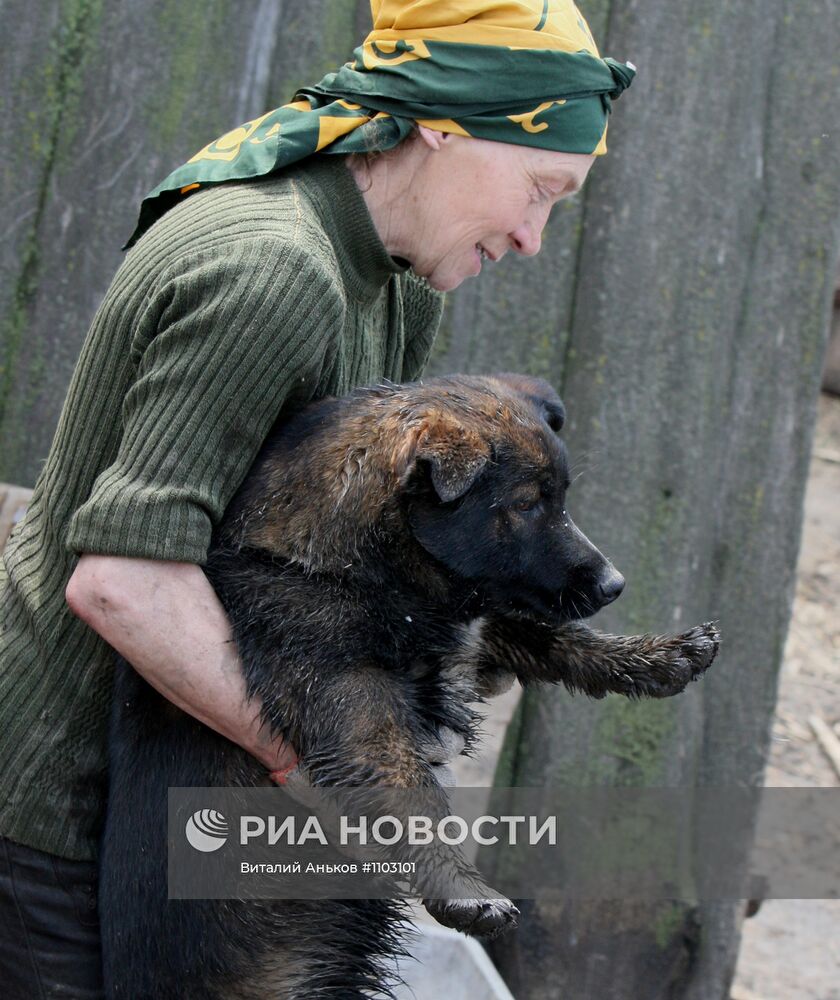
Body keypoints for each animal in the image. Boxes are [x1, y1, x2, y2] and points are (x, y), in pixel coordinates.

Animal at [101, 376, 720, 1000]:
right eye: (525, 505)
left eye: (561, 500)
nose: (615, 585)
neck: (348, 562)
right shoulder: (351, 695)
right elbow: (410, 788)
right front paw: (462, 887)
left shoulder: (475, 627)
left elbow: (558, 636)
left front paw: (658, 656)